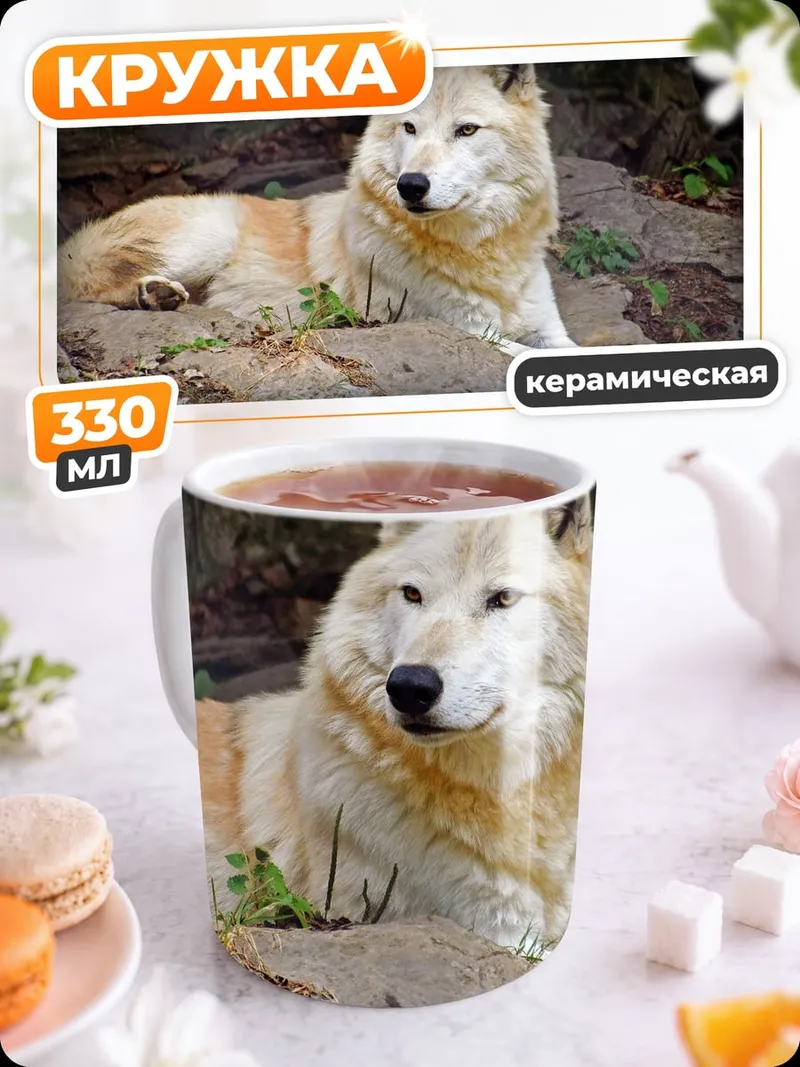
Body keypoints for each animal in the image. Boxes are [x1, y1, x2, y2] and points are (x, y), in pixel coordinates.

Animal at [58, 64, 574, 349]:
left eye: (466, 130)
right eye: (409, 128)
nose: (410, 186)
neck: (482, 253)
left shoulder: (549, 332)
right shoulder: (471, 332)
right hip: (212, 233)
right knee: (88, 288)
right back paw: (155, 294)